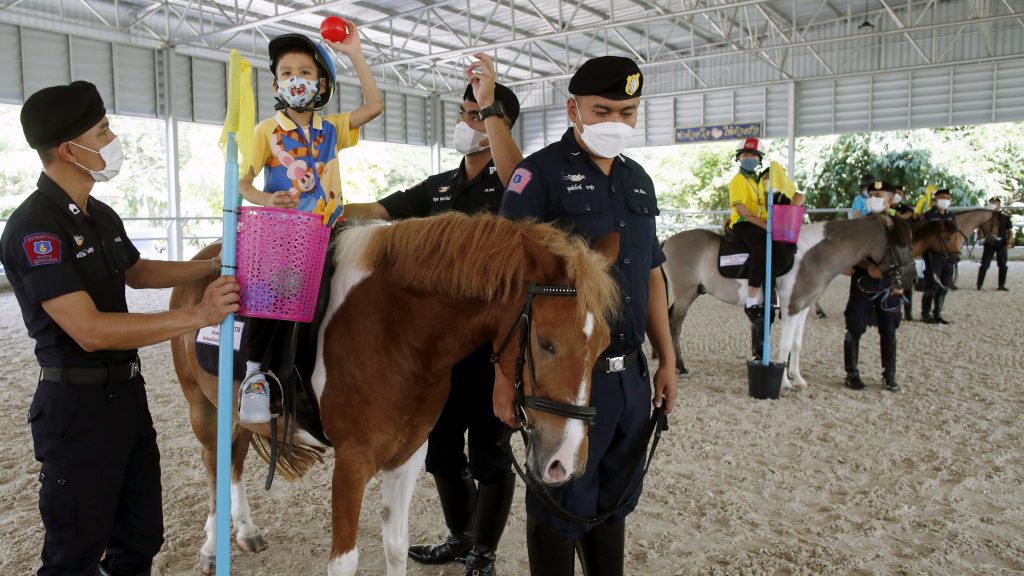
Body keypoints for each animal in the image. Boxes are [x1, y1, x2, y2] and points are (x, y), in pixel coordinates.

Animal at [169, 212, 620, 575]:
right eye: (546, 343)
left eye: (602, 345)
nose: (566, 462)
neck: (396, 332)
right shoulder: (351, 463)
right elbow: (344, 561)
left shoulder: (408, 454)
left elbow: (396, 546)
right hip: (201, 408)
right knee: (213, 466)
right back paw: (211, 549)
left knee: (234, 460)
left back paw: (246, 531)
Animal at [661, 214, 916, 390]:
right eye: (898, 245)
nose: (913, 278)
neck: (813, 255)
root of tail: (667, 242)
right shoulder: (791, 308)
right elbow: (784, 345)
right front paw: (784, 382)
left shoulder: (803, 307)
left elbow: (796, 343)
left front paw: (798, 378)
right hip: (685, 295)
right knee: (674, 326)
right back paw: (680, 367)